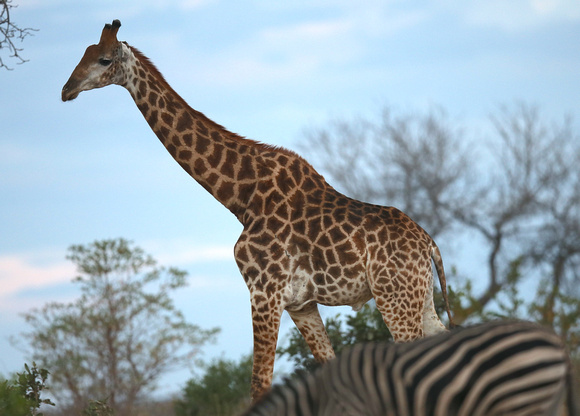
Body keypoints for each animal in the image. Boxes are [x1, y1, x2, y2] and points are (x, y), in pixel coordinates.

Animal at [62, 21, 454, 402]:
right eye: (84, 53)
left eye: (104, 60)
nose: (66, 90)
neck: (241, 197)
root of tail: (428, 244)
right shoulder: (300, 303)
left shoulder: (264, 291)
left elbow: (259, 383)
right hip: (420, 298)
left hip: (394, 298)